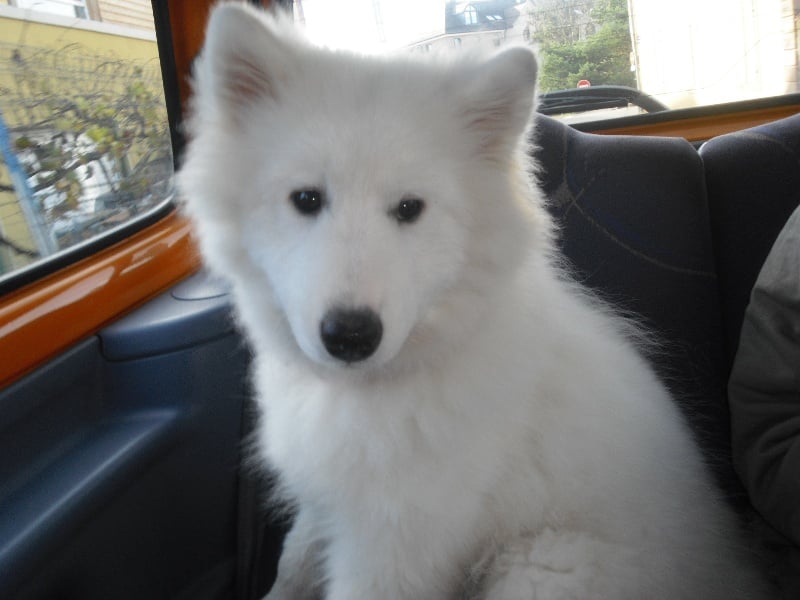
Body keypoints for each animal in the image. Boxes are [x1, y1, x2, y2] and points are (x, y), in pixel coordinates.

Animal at [179, 3, 768, 599]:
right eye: (306, 199)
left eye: (410, 208)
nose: (350, 336)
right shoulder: (325, 505)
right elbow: (293, 563)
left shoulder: (392, 549)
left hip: (535, 567)